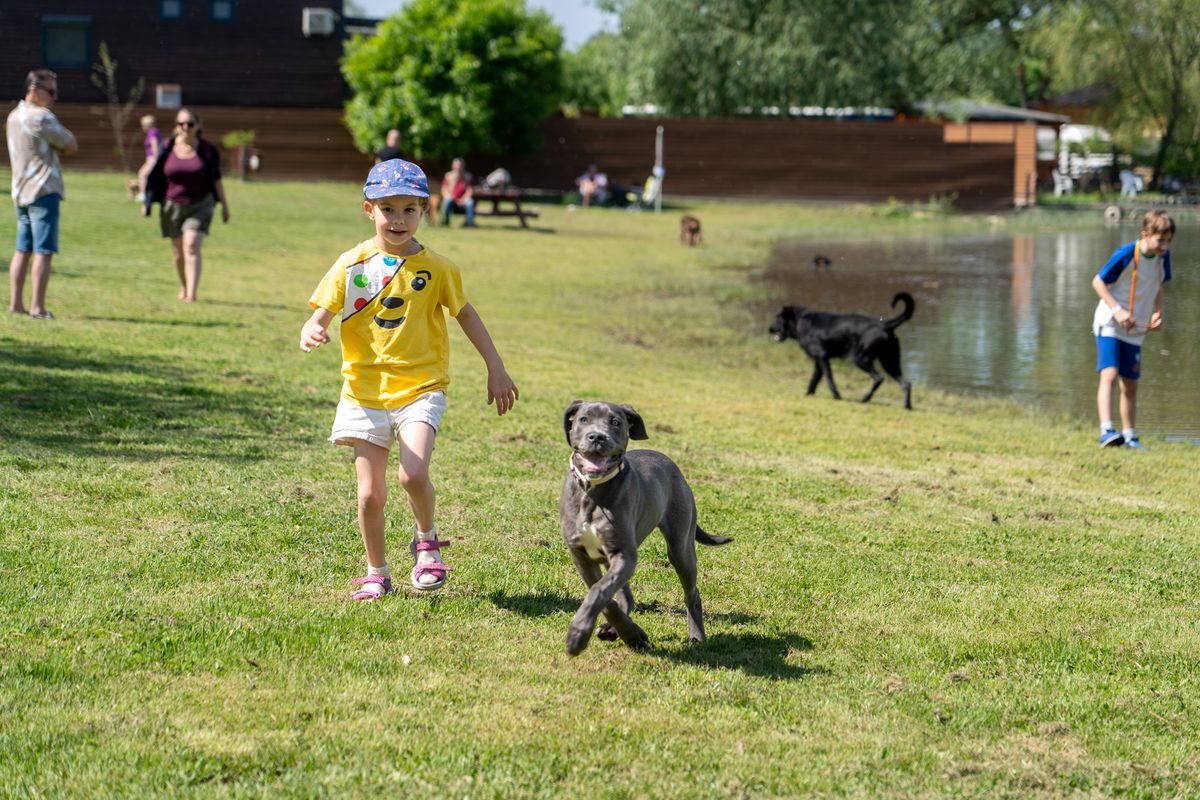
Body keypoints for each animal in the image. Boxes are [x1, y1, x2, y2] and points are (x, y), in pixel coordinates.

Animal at [554, 400, 729, 657]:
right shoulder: (582, 556)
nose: (597, 437)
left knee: (692, 593)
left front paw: (578, 635)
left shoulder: (624, 555)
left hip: (681, 548)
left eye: (616, 422)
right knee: (625, 595)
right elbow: (604, 597)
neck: (592, 492)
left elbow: (598, 592)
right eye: (583, 419)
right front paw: (630, 634)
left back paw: (697, 636)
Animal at [772, 291, 912, 410]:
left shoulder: (822, 357)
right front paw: (808, 394)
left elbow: (829, 379)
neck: (801, 321)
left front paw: (836, 396)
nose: (769, 328)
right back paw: (907, 407)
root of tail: (885, 324)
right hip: (890, 362)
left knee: (879, 378)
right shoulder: (819, 361)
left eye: (778, 319)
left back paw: (865, 399)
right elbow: (814, 379)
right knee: (906, 383)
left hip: (861, 359)